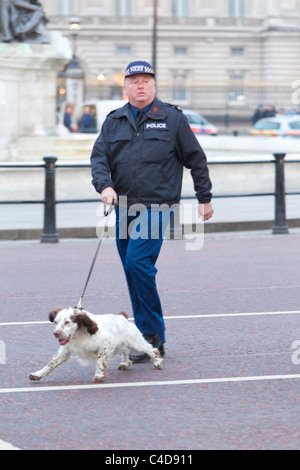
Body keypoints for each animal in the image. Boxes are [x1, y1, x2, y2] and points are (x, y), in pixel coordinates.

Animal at [27, 308, 163, 382]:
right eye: (56, 322)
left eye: (67, 322)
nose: (56, 333)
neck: (80, 334)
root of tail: (122, 316)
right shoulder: (65, 350)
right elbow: (51, 364)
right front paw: (37, 374)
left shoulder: (106, 342)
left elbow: (99, 360)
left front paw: (98, 375)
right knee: (125, 351)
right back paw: (125, 363)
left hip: (135, 342)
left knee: (150, 349)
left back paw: (157, 362)